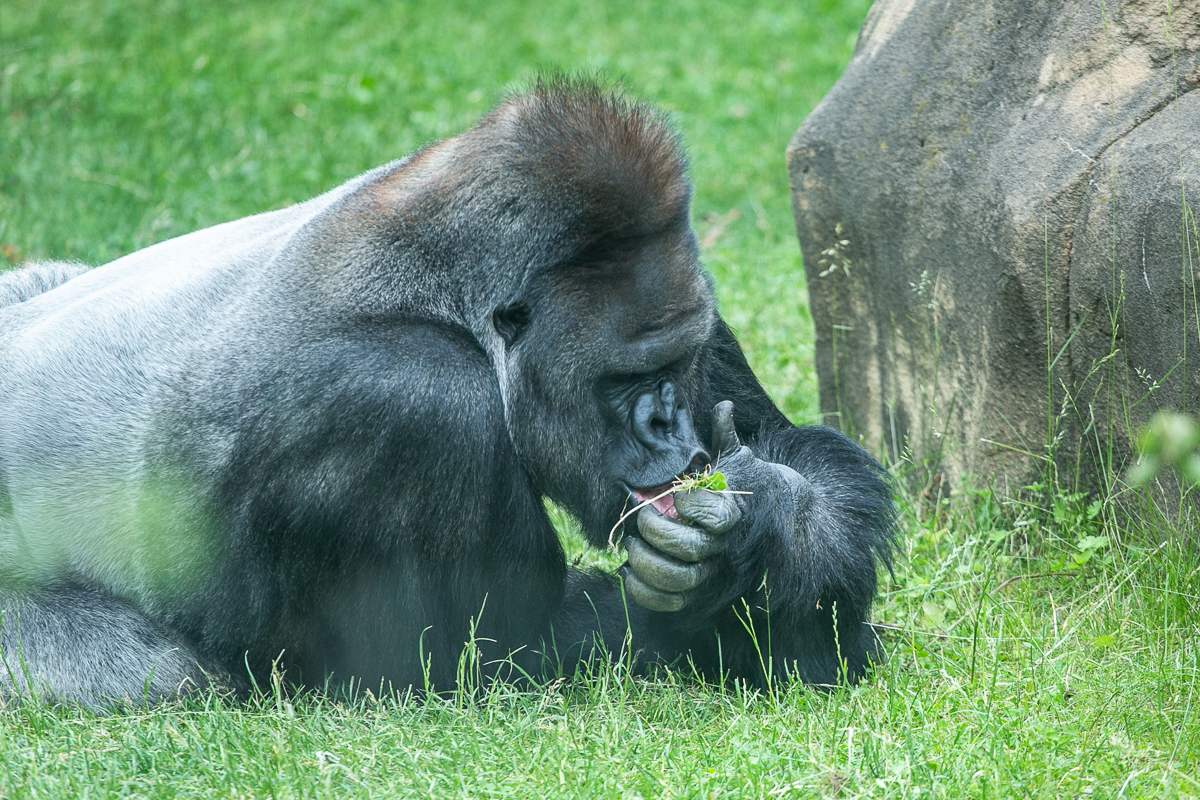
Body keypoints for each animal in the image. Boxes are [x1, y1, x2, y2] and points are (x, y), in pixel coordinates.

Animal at [0, 81, 897, 705]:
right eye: (622, 381)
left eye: (672, 368)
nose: (668, 429)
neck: (440, 292)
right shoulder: (414, 400)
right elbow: (486, 658)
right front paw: (725, 612)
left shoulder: (686, 289)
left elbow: (789, 447)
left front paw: (768, 529)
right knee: (163, 674)